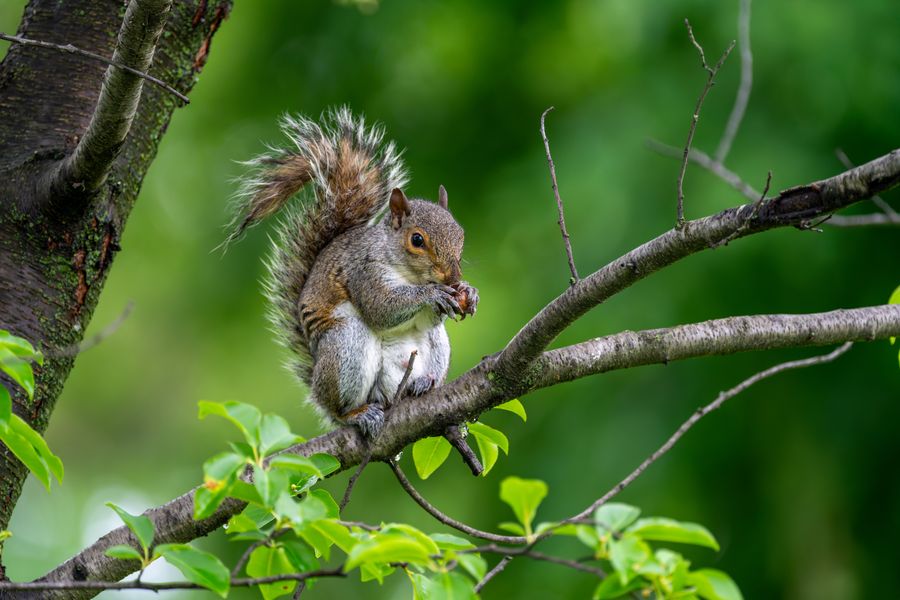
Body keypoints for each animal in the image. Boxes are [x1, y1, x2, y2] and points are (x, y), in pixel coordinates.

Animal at [229, 108, 479, 436]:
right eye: (417, 240)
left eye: (461, 234)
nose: (452, 278)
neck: (409, 274)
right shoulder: (363, 272)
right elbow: (380, 308)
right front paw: (432, 293)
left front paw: (468, 293)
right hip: (347, 344)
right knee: (340, 405)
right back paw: (356, 414)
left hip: (436, 345)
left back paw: (426, 383)